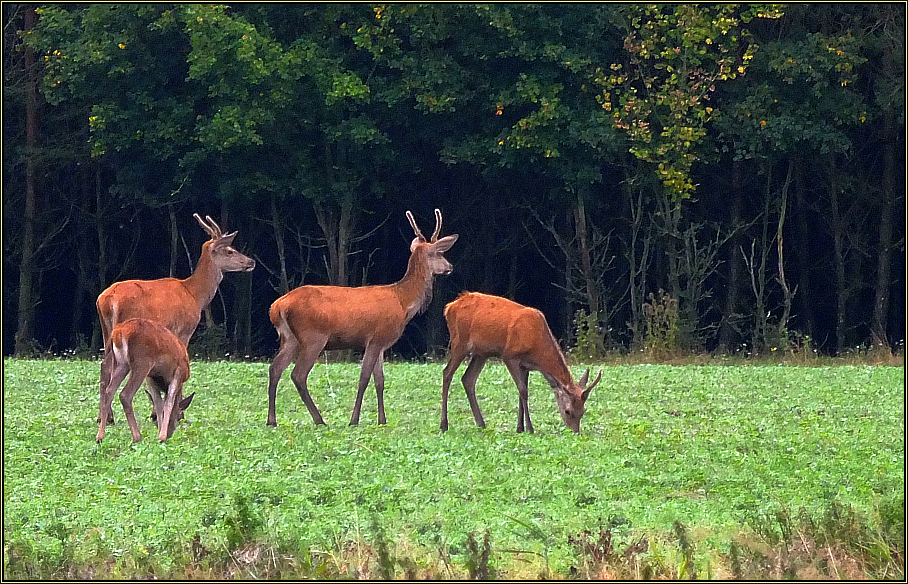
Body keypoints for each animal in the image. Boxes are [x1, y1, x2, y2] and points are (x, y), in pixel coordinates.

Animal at [96, 212, 255, 422]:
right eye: (229, 250)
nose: (251, 262)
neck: (194, 295)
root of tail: (108, 299)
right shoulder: (184, 330)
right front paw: (174, 412)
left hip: (107, 331)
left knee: (105, 365)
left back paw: (105, 417)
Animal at [266, 209, 458, 424]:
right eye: (439, 253)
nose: (450, 267)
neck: (403, 302)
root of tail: (277, 306)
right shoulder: (375, 338)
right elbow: (364, 378)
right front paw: (354, 419)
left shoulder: (381, 344)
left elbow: (380, 380)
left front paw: (382, 420)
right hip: (313, 336)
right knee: (298, 374)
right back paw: (319, 419)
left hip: (289, 338)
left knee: (275, 368)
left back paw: (272, 420)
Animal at [442, 292, 604, 434]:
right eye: (568, 411)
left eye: (583, 410)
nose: (576, 432)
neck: (536, 347)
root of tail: (449, 307)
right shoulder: (510, 356)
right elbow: (523, 391)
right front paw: (530, 428)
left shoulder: (526, 366)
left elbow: (522, 392)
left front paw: (520, 428)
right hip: (459, 341)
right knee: (447, 373)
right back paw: (444, 425)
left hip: (481, 353)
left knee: (468, 379)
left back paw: (481, 423)